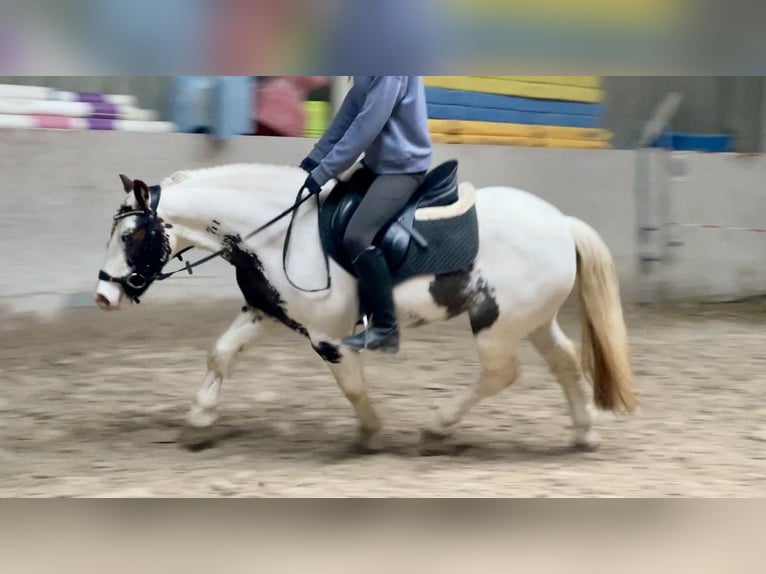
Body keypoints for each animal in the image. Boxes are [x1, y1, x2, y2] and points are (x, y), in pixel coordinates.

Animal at [94, 161, 637, 453]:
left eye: (130, 235)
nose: (103, 296)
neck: (276, 232)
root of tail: (561, 223)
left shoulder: (327, 335)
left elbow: (352, 385)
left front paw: (369, 434)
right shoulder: (266, 312)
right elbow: (220, 353)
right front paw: (198, 423)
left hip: (497, 325)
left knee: (501, 374)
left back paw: (437, 427)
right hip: (532, 319)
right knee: (565, 363)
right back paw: (584, 434)